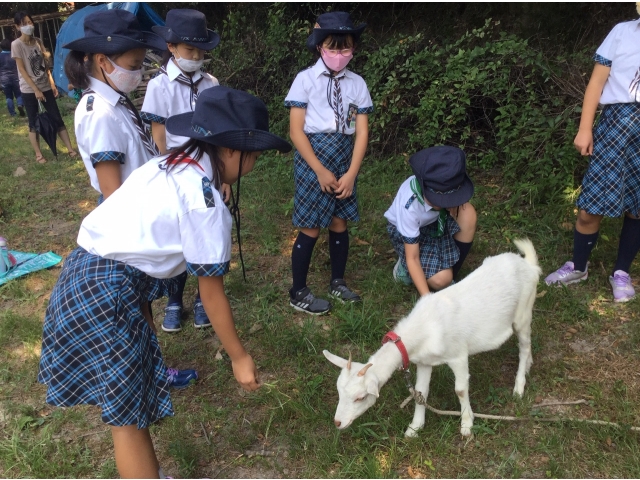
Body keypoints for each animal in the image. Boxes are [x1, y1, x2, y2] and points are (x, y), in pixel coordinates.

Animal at [324, 238, 540, 436]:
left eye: (360, 397)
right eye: (338, 391)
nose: (337, 423)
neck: (426, 326)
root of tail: (529, 265)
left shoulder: (458, 355)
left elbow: (460, 389)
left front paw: (467, 425)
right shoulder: (424, 362)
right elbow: (421, 392)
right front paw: (414, 428)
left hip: (523, 312)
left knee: (524, 346)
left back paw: (519, 386)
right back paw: (529, 366)